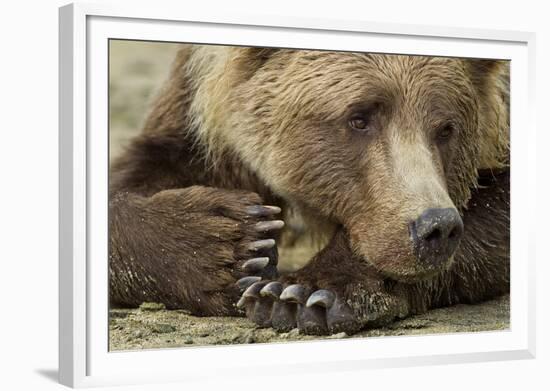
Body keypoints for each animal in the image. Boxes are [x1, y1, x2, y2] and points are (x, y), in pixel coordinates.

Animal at [109, 44, 512, 336]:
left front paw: (302, 294)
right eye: (359, 118)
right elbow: (142, 172)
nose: (436, 228)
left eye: (446, 128)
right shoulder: (194, 109)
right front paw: (231, 242)